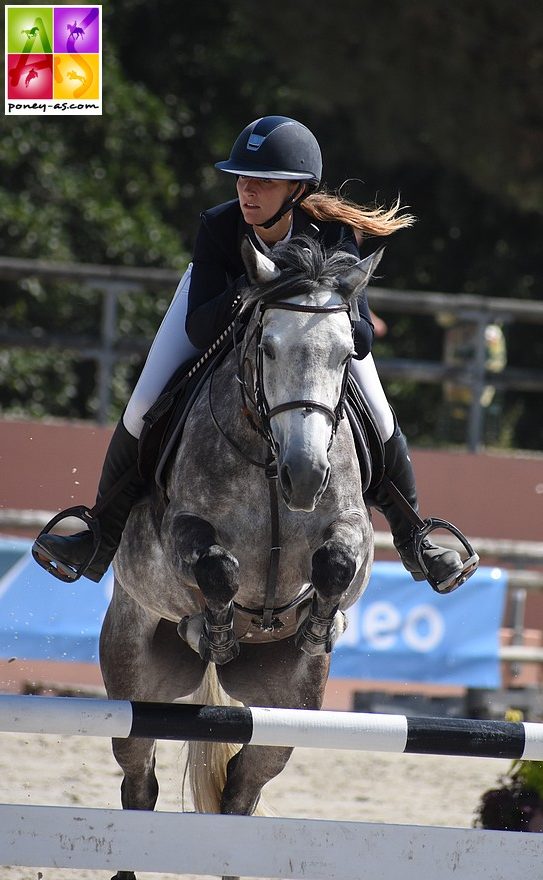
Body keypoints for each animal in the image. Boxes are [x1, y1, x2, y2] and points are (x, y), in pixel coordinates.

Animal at [100, 235, 380, 880]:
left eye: (346, 354)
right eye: (267, 348)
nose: (305, 475)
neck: (270, 460)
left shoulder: (355, 532)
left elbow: (337, 563)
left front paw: (319, 626)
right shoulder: (180, 534)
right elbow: (217, 568)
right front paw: (217, 629)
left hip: (287, 711)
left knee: (242, 794)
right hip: (134, 684)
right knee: (138, 782)